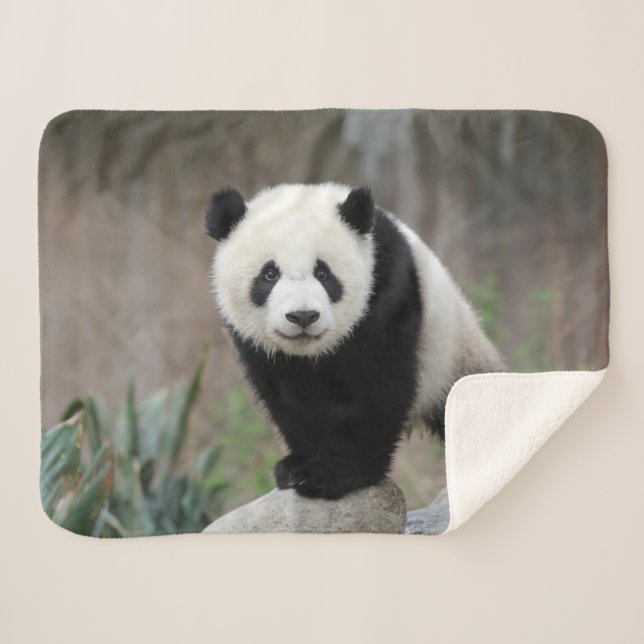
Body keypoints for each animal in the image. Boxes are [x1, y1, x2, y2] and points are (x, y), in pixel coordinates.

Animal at [206, 183, 504, 500]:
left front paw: (329, 476)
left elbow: (376, 388)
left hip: (455, 356)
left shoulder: (388, 289)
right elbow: (289, 399)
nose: (303, 316)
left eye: (323, 273)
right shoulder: (259, 347)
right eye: (269, 274)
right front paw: (295, 467)